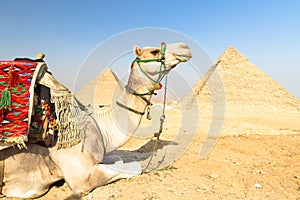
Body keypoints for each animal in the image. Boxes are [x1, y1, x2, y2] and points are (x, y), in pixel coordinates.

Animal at [0, 42, 192, 198]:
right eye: (154, 51)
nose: (185, 47)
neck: (100, 126)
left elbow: (118, 158)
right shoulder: (81, 178)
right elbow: (134, 166)